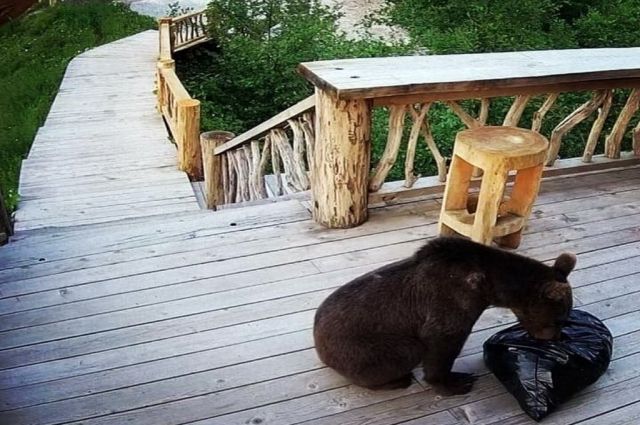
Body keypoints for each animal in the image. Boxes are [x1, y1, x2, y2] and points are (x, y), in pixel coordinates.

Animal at [312, 235, 576, 394]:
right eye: (560, 319)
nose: (556, 337)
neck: (490, 286)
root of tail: (317, 339)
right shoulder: (451, 300)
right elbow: (441, 343)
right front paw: (456, 381)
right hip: (358, 347)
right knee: (404, 351)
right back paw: (398, 379)